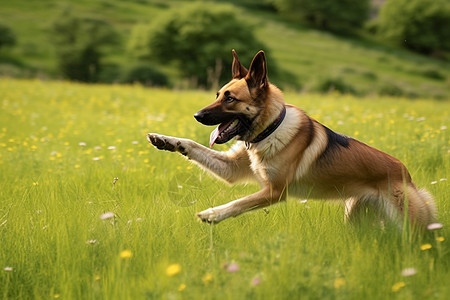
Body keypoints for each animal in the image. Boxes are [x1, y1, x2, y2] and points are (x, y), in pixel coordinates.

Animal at [147, 49, 436, 227]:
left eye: (230, 99)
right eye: (217, 94)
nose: (197, 115)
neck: (269, 129)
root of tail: (406, 173)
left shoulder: (273, 192)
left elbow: (238, 203)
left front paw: (212, 214)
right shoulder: (232, 169)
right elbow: (193, 146)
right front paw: (165, 140)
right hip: (355, 217)